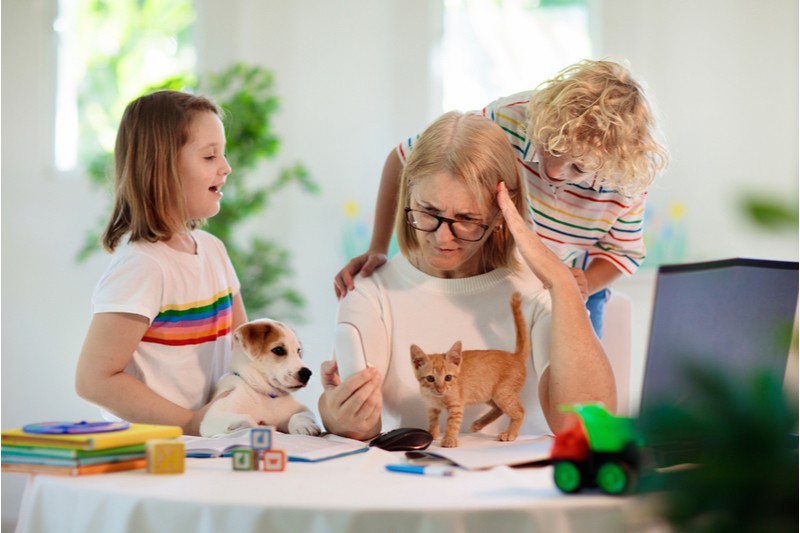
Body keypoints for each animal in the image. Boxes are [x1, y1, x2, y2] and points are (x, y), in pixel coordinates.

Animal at [412, 294, 532, 446]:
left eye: (448, 377)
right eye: (430, 378)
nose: (440, 389)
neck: (438, 397)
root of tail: (515, 356)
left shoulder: (457, 406)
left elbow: (452, 424)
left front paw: (449, 440)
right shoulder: (432, 407)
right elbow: (433, 421)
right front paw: (432, 435)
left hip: (503, 392)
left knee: (519, 411)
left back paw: (510, 433)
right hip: (488, 393)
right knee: (499, 409)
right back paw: (478, 424)